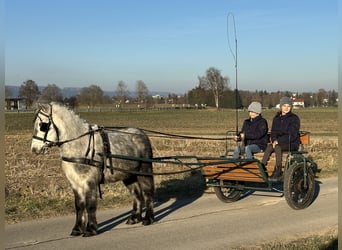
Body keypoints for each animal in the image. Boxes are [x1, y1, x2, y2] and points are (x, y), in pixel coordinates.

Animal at [31, 102, 154, 237]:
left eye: (43, 125)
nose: (34, 149)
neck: (81, 145)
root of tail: (141, 133)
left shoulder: (90, 182)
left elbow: (90, 205)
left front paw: (90, 229)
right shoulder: (75, 184)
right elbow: (79, 205)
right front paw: (77, 229)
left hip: (144, 172)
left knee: (147, 193)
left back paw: (148, 218)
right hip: (128, 176)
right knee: (136, 194)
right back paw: (135, 218)